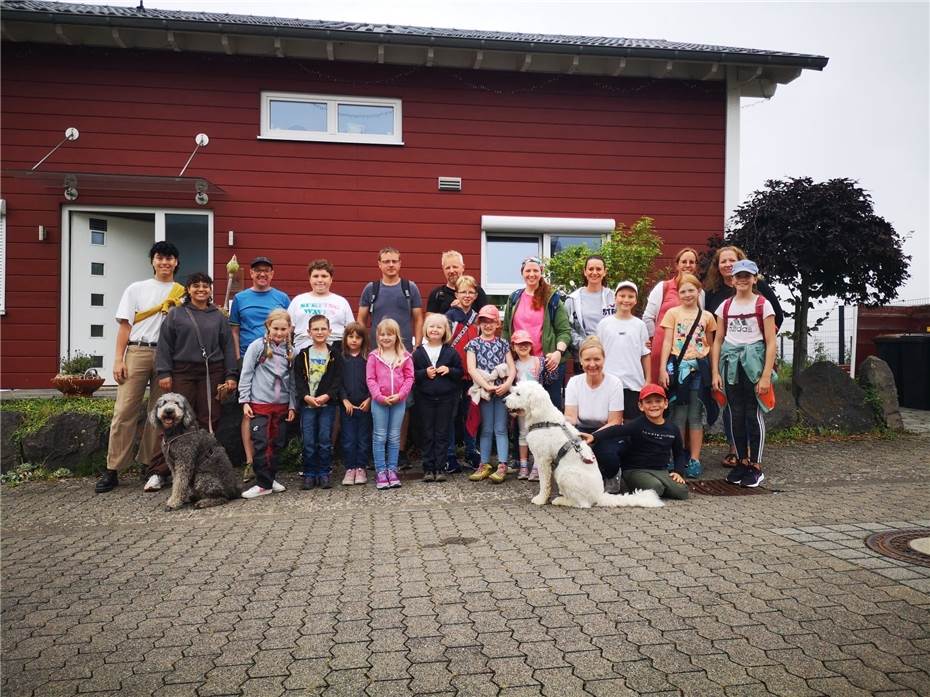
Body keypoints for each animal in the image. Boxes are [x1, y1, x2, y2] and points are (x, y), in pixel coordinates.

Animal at [508, 384, 660, 508]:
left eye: (518, 394)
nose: (504, 401)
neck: (543, 419)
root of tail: (599, 495)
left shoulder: (542, 459)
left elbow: (544, 483)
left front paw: (540, 499)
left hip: (565, 473)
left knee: (583, 504)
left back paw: (561, 500)